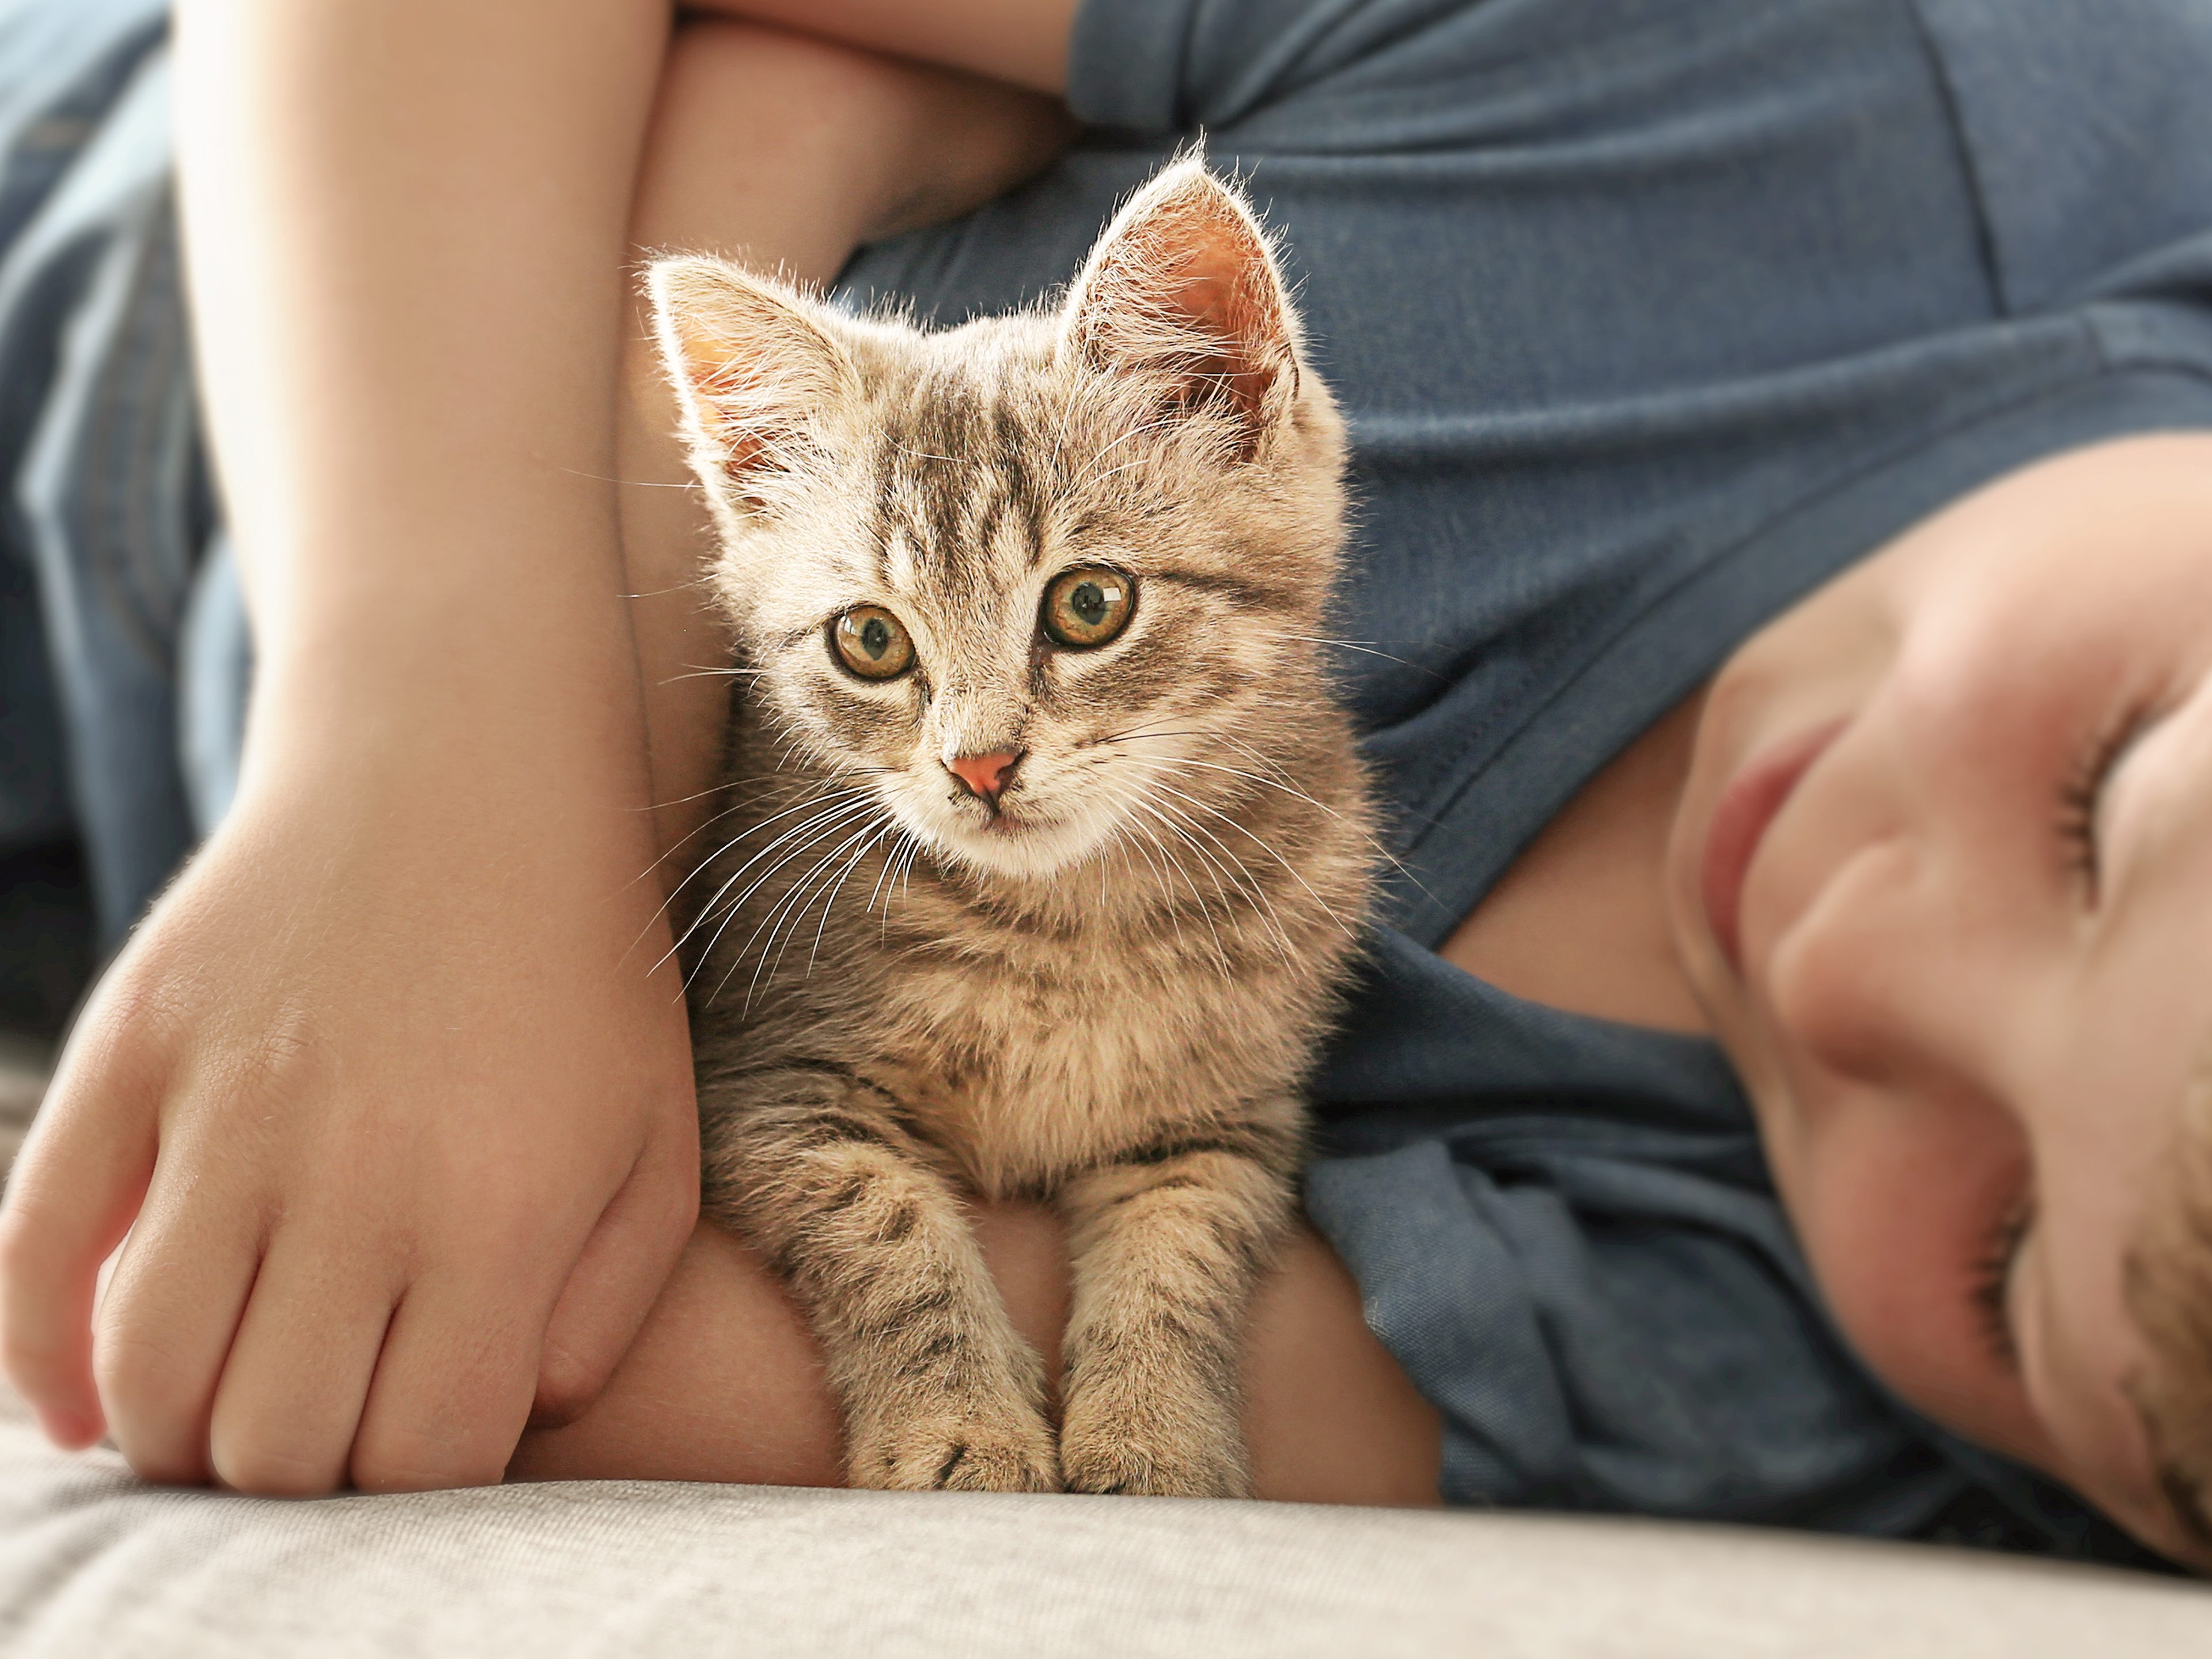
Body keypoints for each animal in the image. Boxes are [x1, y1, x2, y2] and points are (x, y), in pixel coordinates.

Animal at [654, 162, 1371, 1504]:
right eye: (869, 640)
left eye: (1090, 604)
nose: (979, 764)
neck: (1068, 926)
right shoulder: (767, 1079)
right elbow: (888, 1230)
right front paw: (961, 1433)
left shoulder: (1224, 1116)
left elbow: (1178, 1254)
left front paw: (1153, 1436)